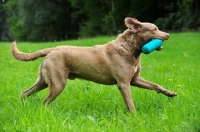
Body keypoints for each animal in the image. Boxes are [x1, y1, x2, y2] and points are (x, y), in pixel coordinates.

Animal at [11, 17, 177, 112]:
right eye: (154, 29)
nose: (168, 34)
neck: (130, 48)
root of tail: (51, 49)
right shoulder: (124, 83)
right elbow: (130, 103)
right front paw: (135, 117)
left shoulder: (135, 79)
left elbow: (155, 85)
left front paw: (170, 93)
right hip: (58, 83)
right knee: (44, 102)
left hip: (44, 81)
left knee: (25, 92)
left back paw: (19, 106)